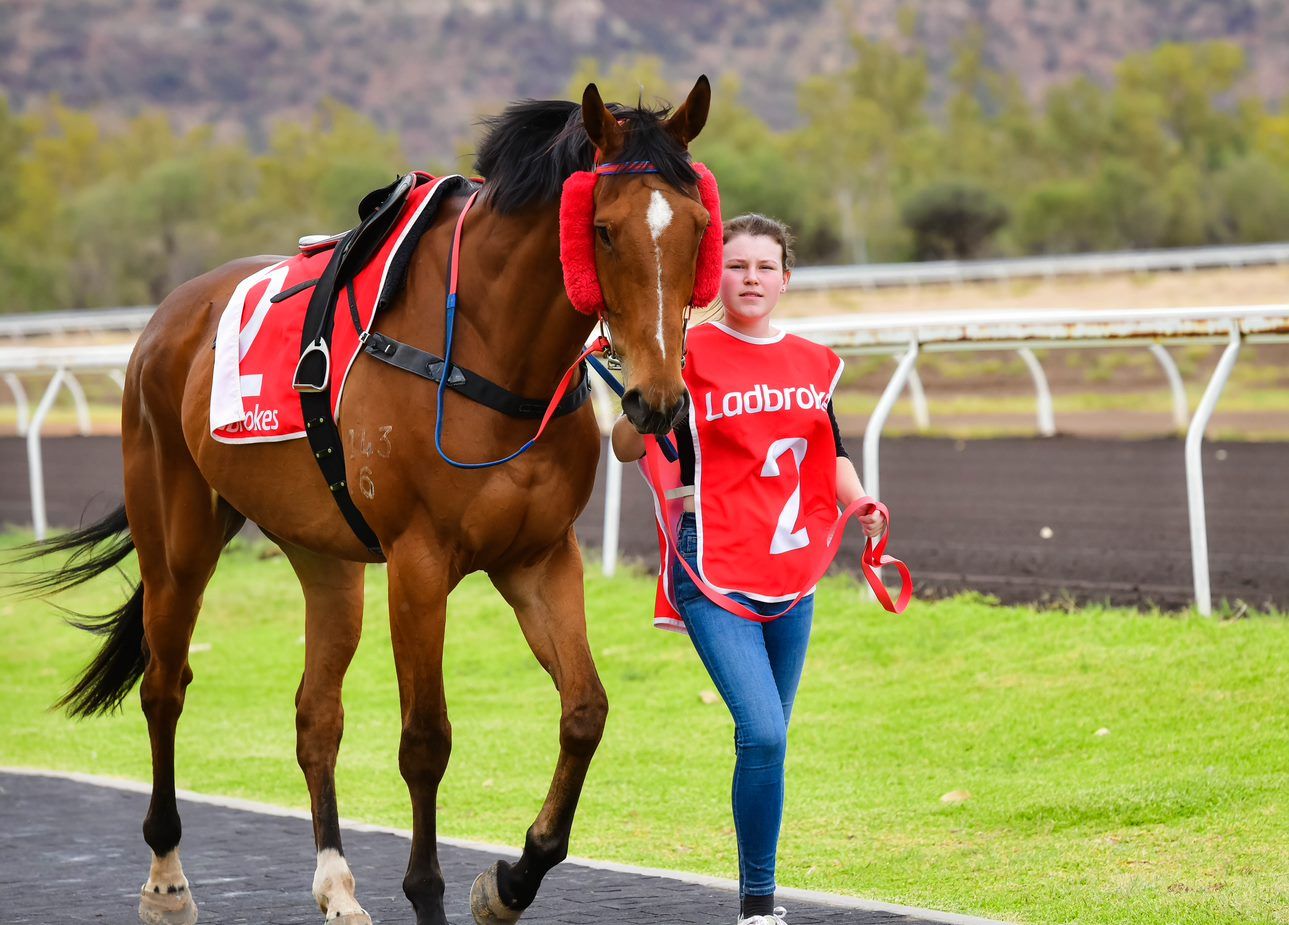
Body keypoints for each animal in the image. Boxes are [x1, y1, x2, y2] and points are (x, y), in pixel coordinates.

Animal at [20, 77, 714, 925]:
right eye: (605, 230)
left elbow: (585, 711)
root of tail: (167, 316)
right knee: (163, 686)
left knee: (316, 711)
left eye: (699, 228)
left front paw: (509, 881)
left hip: (324, 556)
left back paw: (337, 883)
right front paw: (428, 892)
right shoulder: (418, 563)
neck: (485, 347)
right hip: (176, 539)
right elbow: (426, 739)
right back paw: (166, 877)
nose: (656, 400)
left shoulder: (538, 556)